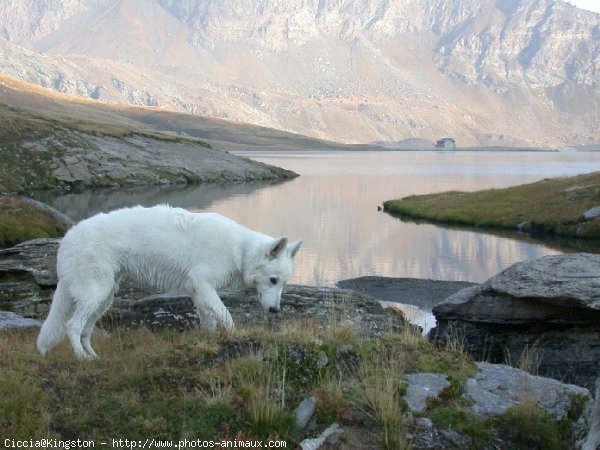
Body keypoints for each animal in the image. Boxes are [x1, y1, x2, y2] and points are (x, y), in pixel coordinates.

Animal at [35, 206, 302, 360]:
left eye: (283, 283)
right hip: (95, 294)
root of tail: (68, 238)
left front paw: (209, 342)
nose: (275, 310)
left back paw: (93, 356)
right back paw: (82, 359)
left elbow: (209, 322)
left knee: (85, 331)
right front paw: (234, 337)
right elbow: (226, 317)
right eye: (273, 280)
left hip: (104, 298)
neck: (240, 250)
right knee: (72, 326)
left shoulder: (199, 292)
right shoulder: (203, 285)